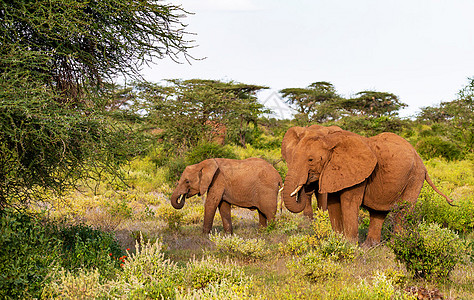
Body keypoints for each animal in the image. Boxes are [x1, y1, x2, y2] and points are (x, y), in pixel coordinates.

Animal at [280, 127, 454, 247]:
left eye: (310, 160)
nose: (305, 184)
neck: (331, 140)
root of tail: (421, 160)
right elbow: (333, 204)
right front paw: (337, 242)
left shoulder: (356, 174)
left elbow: (349, 204)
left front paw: (349, 247)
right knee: (379, 212)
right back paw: (369, 247)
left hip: (415, 177)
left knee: (403, 210)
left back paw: (396, 246)